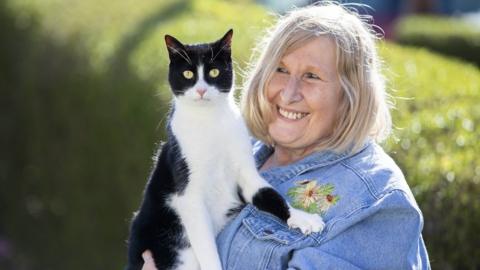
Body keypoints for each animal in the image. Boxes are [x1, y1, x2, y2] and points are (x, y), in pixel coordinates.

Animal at [125, 29, 324, 270]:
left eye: (214, 71)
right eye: (188, 74)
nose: (201, 89)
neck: (210, 122)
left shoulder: (246, 173)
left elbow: (271, 195)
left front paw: (302, 217)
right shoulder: (188, 195)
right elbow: (208, 249)